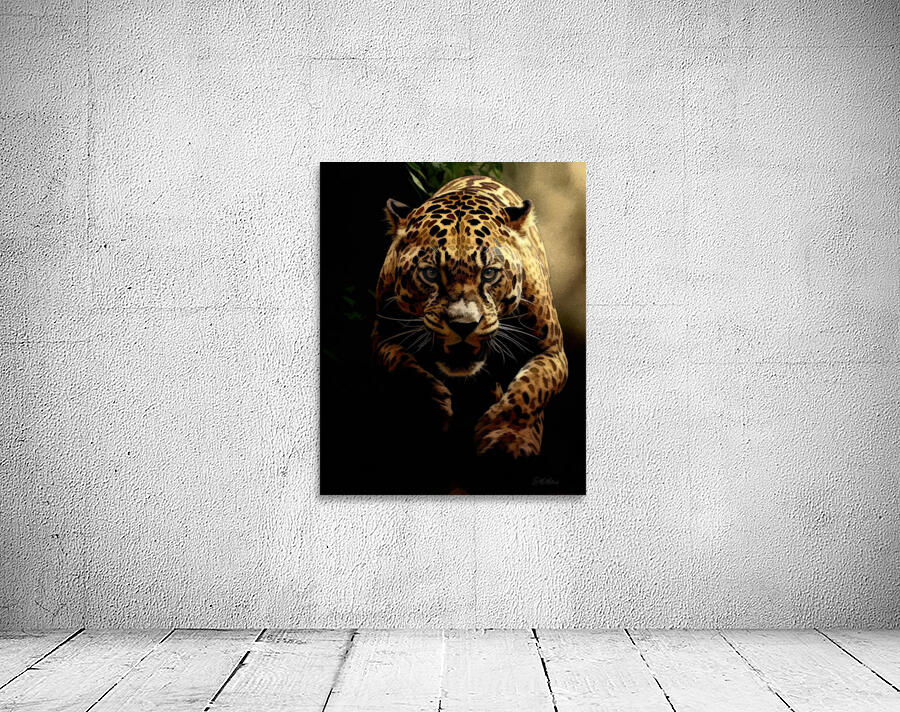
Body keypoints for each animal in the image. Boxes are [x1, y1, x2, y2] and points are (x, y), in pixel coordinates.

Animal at [371, 175, 568, 459]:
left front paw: (503, 435)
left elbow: (530, 390)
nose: (463, 325)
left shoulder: (552, 351)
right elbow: (402, 367)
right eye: (431, 273)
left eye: (489, 273)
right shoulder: (383, 338)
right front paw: (435, 407)